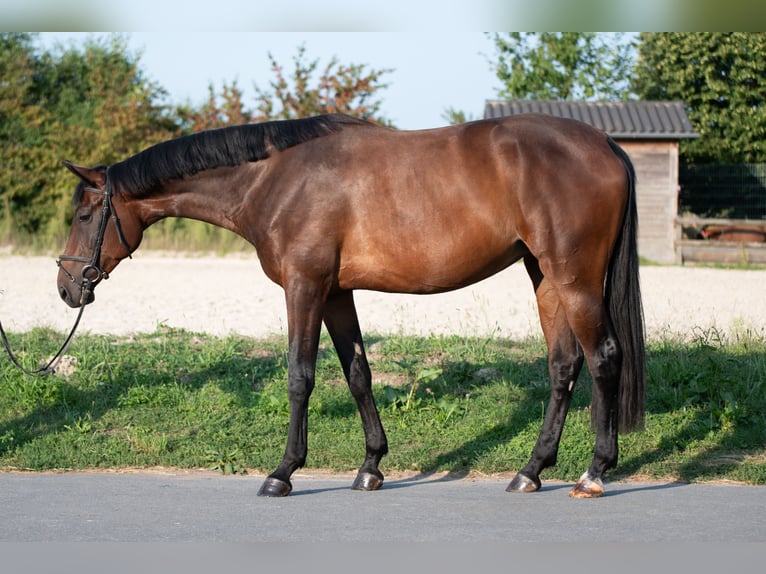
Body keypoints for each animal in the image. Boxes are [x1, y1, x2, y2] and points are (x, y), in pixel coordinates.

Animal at [57, 113, 644, 500]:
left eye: (85, 215)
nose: (67, 287)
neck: (274, 179)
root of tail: (607, 146)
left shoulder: (304, 287)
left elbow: (300, 376)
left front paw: (283, 472)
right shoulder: (337, 293)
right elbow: (358, 373)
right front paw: (371, 467)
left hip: (574, 278)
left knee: (604, 358)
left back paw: (594, 473)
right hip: (543, 276)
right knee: (564, 366)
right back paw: (531, 470)